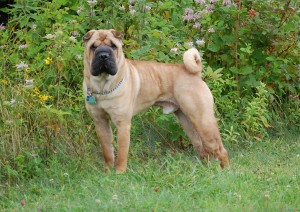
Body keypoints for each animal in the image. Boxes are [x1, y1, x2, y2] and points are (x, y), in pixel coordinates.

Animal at [83, 29, 229, 173]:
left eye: (113, 46)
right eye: (93, 47)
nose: (103, 55)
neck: (102, 86)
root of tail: (196, 73)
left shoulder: (122, 124)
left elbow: (122, 155)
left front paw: (119, 173)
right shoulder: (100, 122)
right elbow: (107, 151)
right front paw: (107, 172)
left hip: (203, 121)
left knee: (219, 149)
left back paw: (225, 171)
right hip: (187, 121)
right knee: (202, 148)